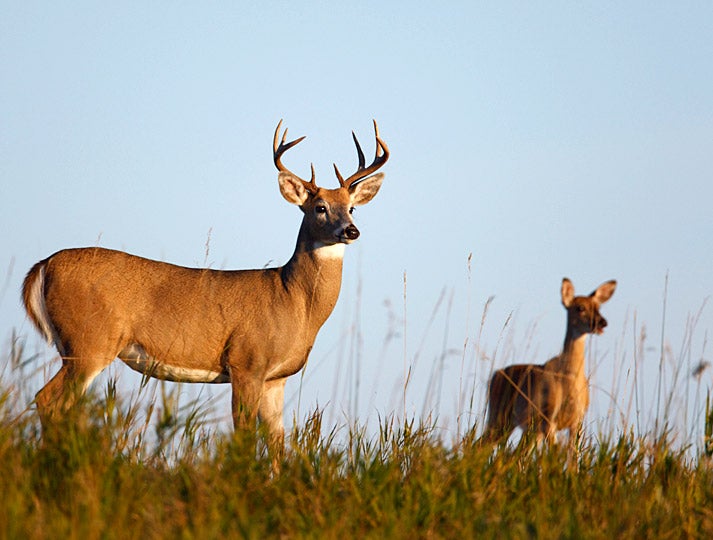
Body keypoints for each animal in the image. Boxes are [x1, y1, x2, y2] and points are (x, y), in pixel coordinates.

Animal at [20, 119, 390, 452]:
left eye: (352, 207)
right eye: (320, 207)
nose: (351, 231)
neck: (293, 299)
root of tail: (44, 265)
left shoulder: (276, 378)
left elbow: (277, 442)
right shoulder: (246, 362)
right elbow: (244, 434)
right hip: (89, 342)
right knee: (48, 400)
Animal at [482, 278, 616, 452]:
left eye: (598, 307)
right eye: (580, 308)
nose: (602, 322)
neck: (570, 379)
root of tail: (494, 376)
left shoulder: (577, 421)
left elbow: (573, 456)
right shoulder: (548, 418)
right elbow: (555, 453)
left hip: (524, 427)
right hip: (499, 416)